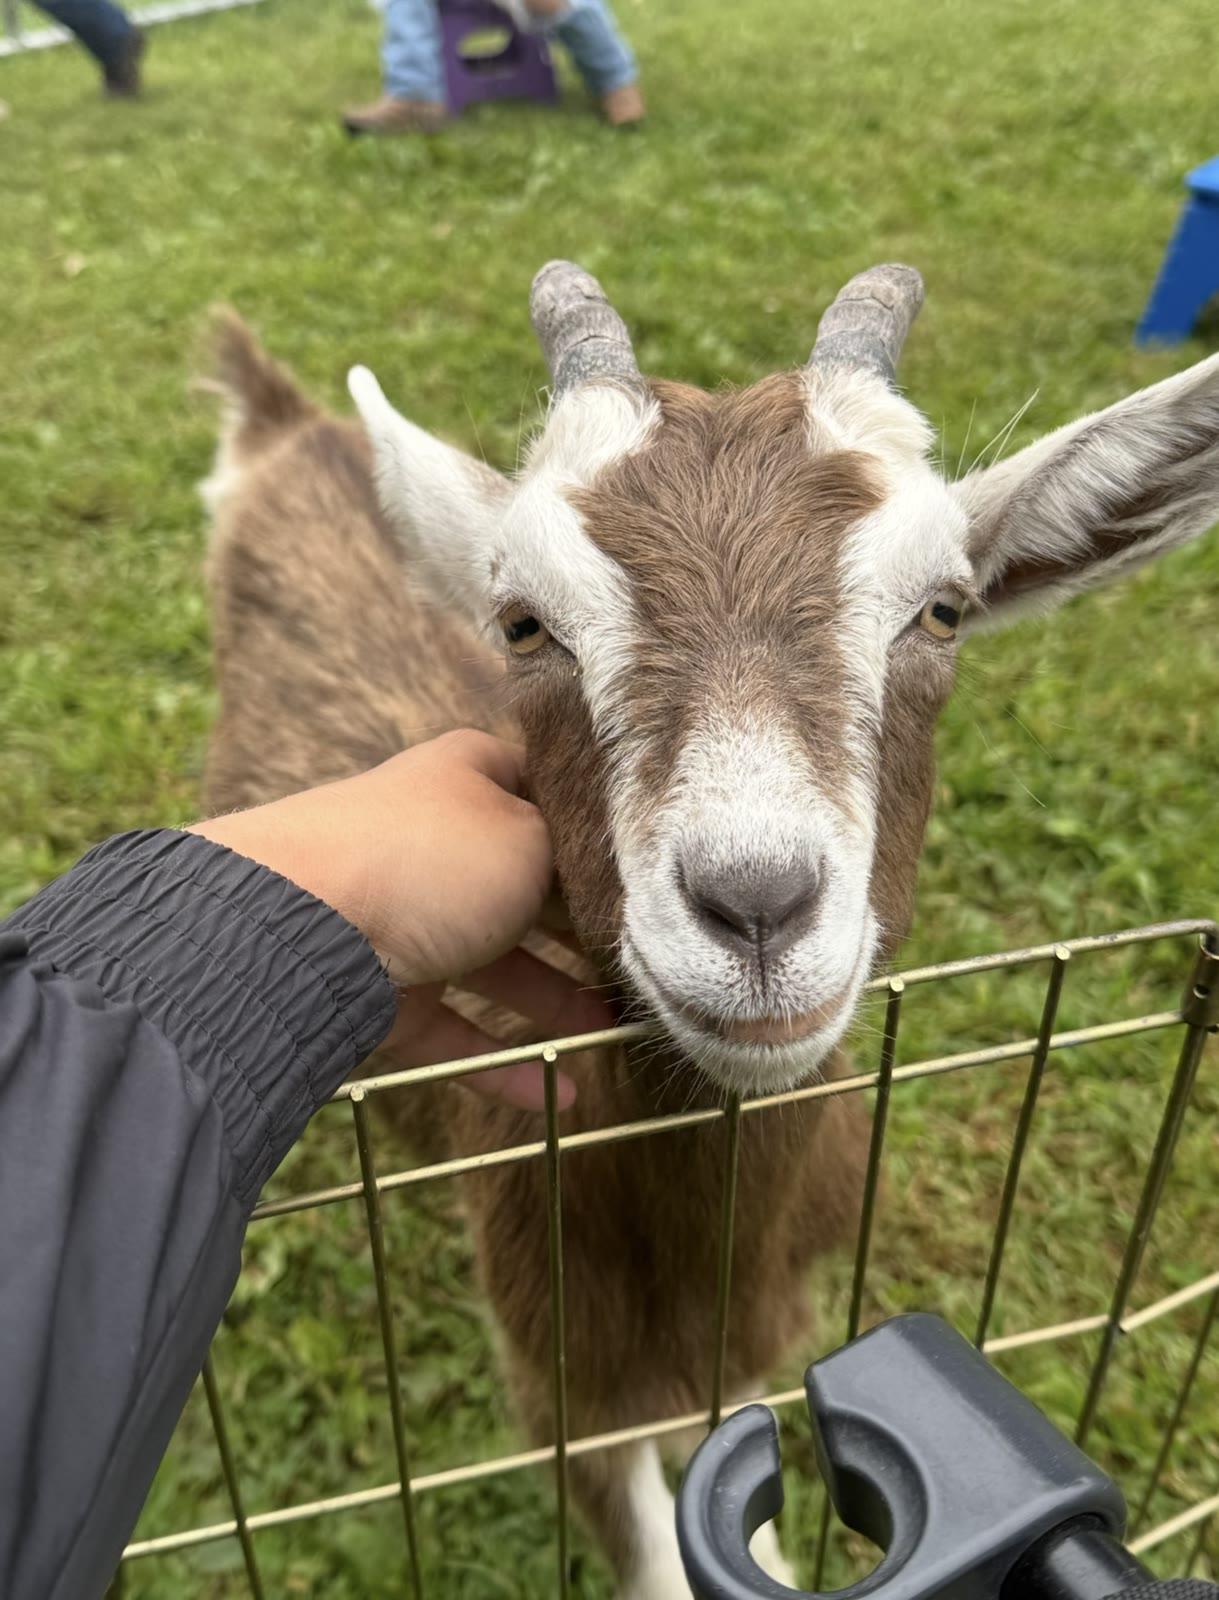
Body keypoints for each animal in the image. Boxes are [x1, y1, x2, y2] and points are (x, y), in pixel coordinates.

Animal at [202, 265, 1219, 1598]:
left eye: (944, 609)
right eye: (523, 623)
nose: (755, 905)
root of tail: (284, 424)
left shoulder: (755, 1349)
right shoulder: (567, 1393)